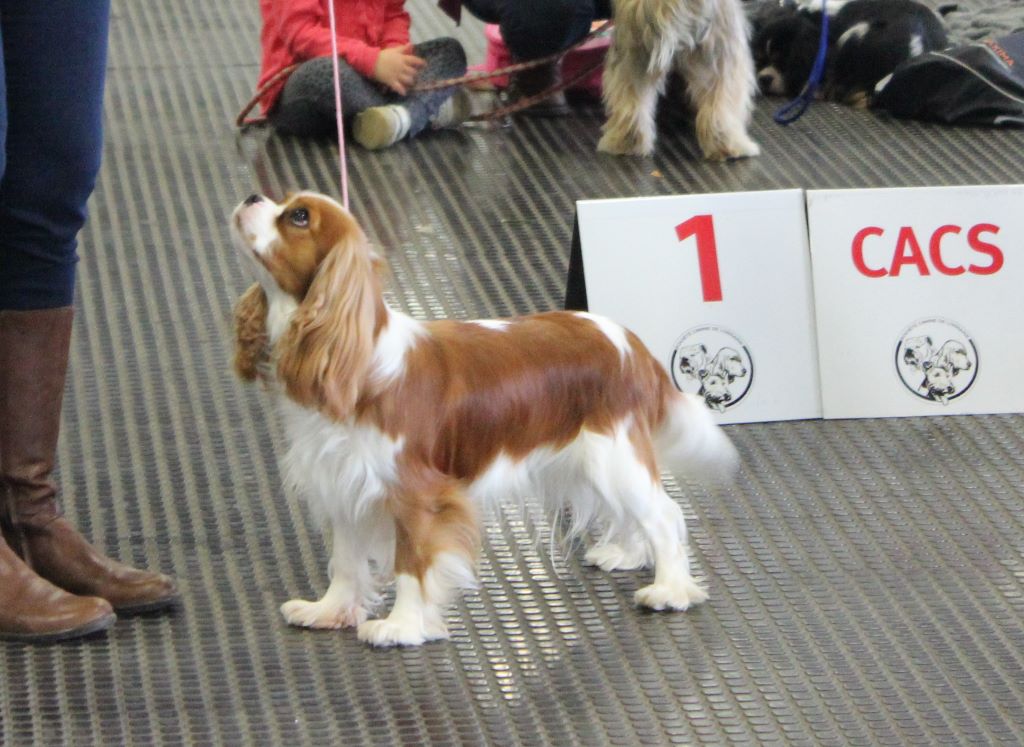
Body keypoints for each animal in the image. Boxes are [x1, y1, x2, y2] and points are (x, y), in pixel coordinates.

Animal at [230, 192, 737, 647]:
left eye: (298, 216)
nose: (251, 197)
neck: (358, 361)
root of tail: (630, 343)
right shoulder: (345, 485)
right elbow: (347, 563)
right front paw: (330, 611)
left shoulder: (418, 497)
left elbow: (411, 565)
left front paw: (402, 627)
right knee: (636, 513)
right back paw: (626, 554)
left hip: (613, 455)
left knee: (664, 514)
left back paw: (670, 590)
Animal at [598, 0, 761, 157]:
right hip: (723, 47)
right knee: (721, 103)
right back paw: (731, 145)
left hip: (632, 50)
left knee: (629, 96)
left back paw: (626, 142)